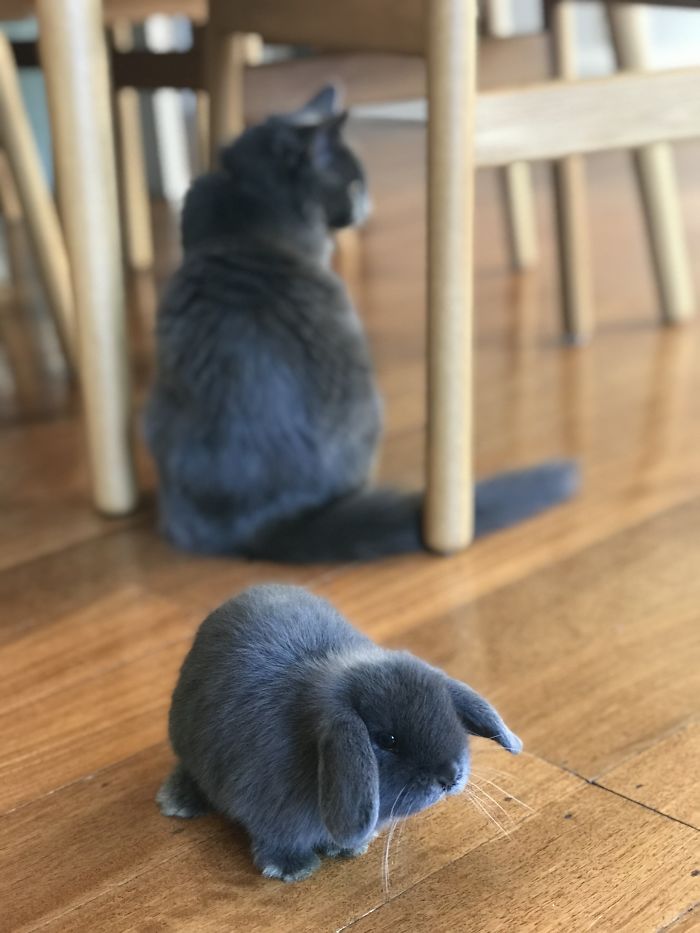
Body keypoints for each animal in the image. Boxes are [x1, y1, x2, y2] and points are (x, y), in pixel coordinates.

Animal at [157, 584, 522, 882]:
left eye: (448, 715)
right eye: (387, 740)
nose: (450, 776)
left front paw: (349, 848)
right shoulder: (266, 811)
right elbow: (276, 840)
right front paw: (292, 869)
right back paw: (177, 801)